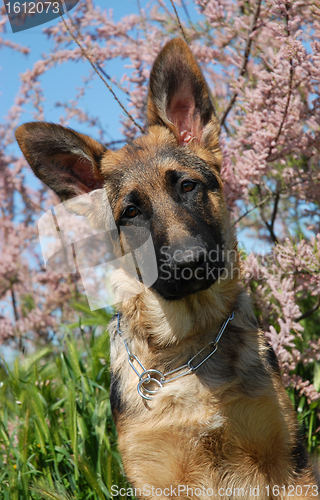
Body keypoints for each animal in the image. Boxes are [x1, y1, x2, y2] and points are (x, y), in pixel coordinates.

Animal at [14, 38, 318, 496]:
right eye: (131, 212)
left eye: (188, 186)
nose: (188, 262)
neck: (190, 347)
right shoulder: (156, 475)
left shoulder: (289, 467)